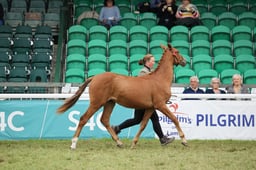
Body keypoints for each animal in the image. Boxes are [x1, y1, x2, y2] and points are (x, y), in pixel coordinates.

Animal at [57, 43, 188, 149]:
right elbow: (174, 118)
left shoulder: (151, 107)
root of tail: (94, 77)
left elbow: (143, 124)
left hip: (110, 103)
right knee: (84, 119)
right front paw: (184, 140)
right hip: (96, 103)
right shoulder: (160, 105)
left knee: (104, 120)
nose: (184, 61)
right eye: (177, 51)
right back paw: (73, 144)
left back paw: (119, 142)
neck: (159, 79)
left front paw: (134, 143)